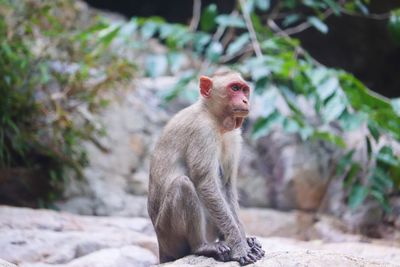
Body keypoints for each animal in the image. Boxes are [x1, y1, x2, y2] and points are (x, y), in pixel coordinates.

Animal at [148, 70, 264, 266]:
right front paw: (240, 247)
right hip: (168, 235)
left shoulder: (234, 136)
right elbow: (205, 184)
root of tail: (161, 247)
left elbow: (227, 186)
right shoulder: (202, 131)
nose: (245, 101)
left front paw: (243, 239)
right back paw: (202, 247)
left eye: (244, 90)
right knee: (183, 185)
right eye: (234, 88)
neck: (213, 116)